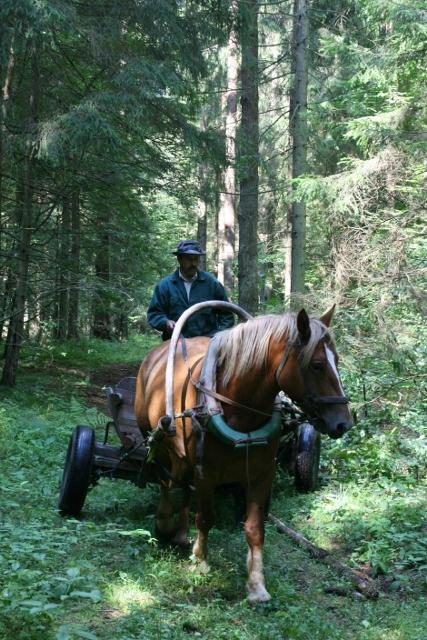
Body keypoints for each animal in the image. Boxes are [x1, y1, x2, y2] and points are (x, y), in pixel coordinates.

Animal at [135, 308, 352, 604]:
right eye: (317, 364)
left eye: (337, 360)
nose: (344, 423)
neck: (234, 406)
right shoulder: (206, 473)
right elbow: (206, 517)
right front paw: (201, 560)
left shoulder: (262, 474)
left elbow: (255, 529)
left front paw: (257, 585)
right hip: (155, 439)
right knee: (165, 481)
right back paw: (165, 522)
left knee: (183, 486)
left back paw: (179, 533)